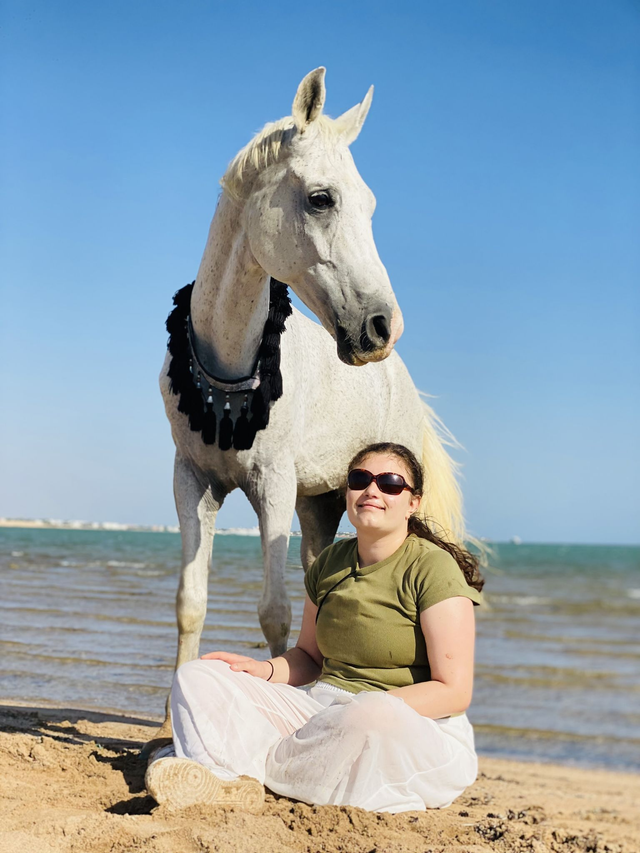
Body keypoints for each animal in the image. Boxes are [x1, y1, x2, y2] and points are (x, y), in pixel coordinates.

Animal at [154, 68, 466, 741]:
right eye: (321, 198)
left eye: (371, 203)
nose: (382, 326)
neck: (229, 372)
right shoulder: (192, 481)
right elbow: (191, 600)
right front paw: (167, 722)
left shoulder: (271, 486)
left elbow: (274, 611)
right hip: (319, 503)